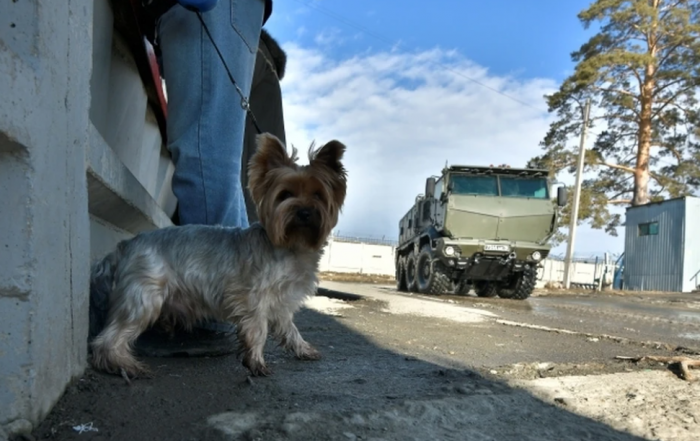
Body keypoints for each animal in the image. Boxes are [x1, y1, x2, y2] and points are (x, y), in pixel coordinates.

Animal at [89, 132, 348, 376]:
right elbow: (258, 329)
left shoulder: (283, 303)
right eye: (285, 195)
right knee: (109, 337)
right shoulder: (254, 297)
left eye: (318, 195)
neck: (292, 245)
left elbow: (290, 329)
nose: (304, 212)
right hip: (144, 295)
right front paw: (256, 362)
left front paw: (303, 349)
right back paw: (123, 365)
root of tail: (125, 245)